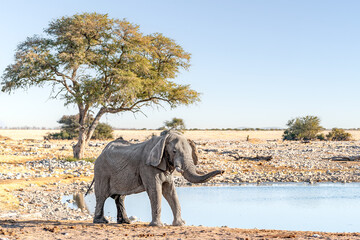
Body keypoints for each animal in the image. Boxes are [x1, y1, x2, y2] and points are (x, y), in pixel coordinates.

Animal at [89, 130, 222, 226]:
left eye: (190, 152)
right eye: (174, 151)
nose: (222, 171)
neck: (162, 139)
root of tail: (101, 153)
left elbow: (170, 191)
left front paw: (180, 224)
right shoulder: (147, 167)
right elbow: (156, 190)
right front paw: (157, 225)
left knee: (120, 197)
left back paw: (125, 222)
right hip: (101, 171)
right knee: (102, 196)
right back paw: (100, 221)